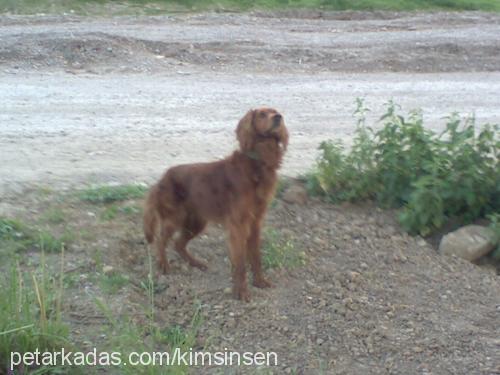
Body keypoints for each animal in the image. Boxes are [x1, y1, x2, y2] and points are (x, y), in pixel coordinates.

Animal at [143, 107, 288, 302]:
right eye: (262, 114)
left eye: (276, 111)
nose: (278, 118)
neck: (258, 162)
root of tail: (161, 179)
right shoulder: (238, 225)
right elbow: (240, 262)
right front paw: (241, 292)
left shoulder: (255, 222)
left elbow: (256, 257)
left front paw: (260, 281)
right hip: (174, 218)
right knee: (161, 240)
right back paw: (164, 265)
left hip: (196, 222)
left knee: (179, 244)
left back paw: (197, 263)